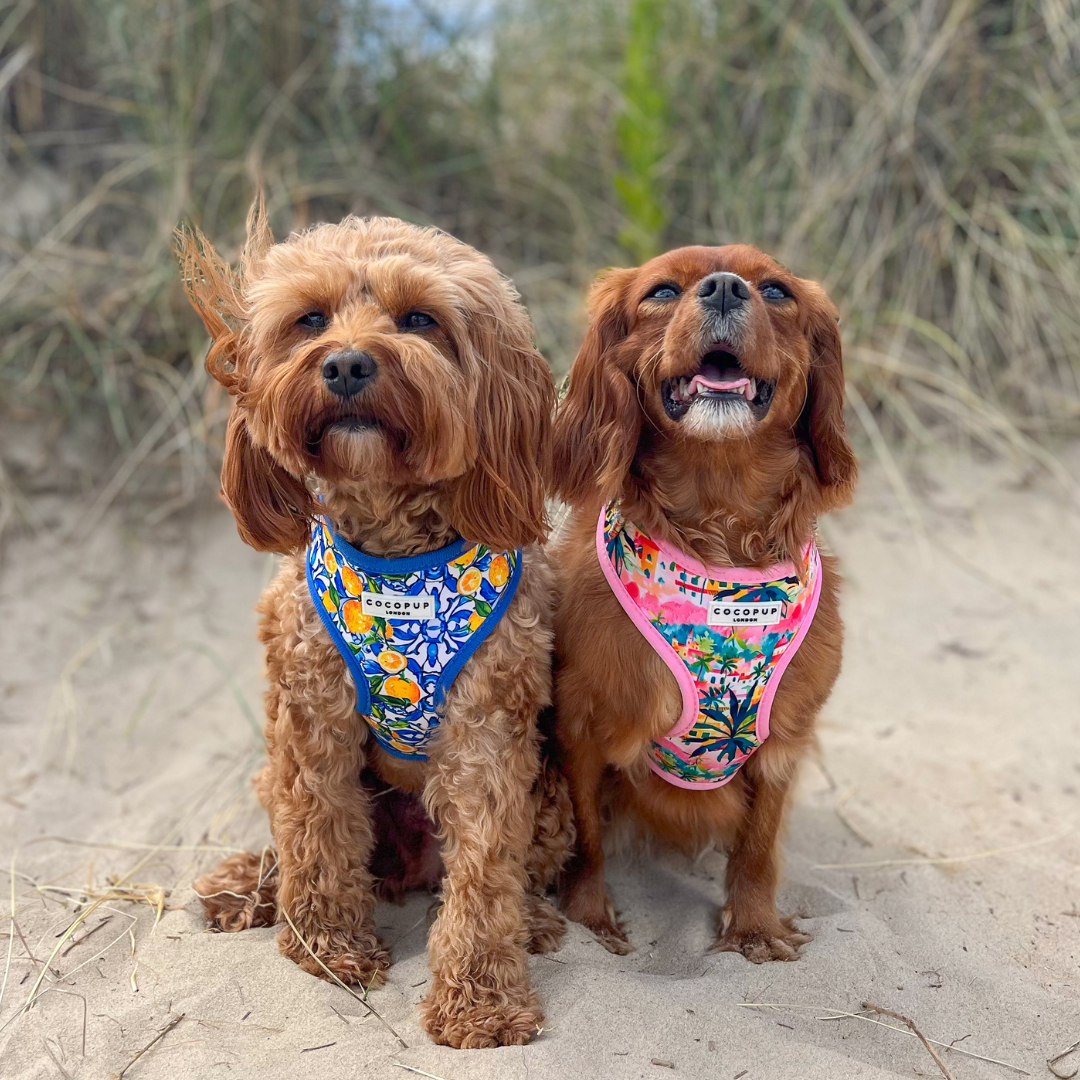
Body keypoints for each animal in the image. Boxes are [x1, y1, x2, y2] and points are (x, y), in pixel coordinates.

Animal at [179, 203, 574, 1045]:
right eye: (310, 319)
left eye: (420, 319)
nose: (348, 366)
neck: (396, 562)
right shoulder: (309, 715)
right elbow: (318, 832)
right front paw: (326, 947)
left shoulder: (486, 733)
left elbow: (484, 870)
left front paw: (482, 1000)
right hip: (280, 765)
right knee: (290, 833)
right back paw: (252, 884)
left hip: (553, 792)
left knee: (509, 872)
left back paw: (530, 922)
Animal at [552, 247, 855, 963]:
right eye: (662, 292)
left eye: (776, 290)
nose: (723, 288)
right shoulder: (580, 723)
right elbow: (587, 836)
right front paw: (590, 916)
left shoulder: (784, 738)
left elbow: (759, 847)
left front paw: (754, 926)